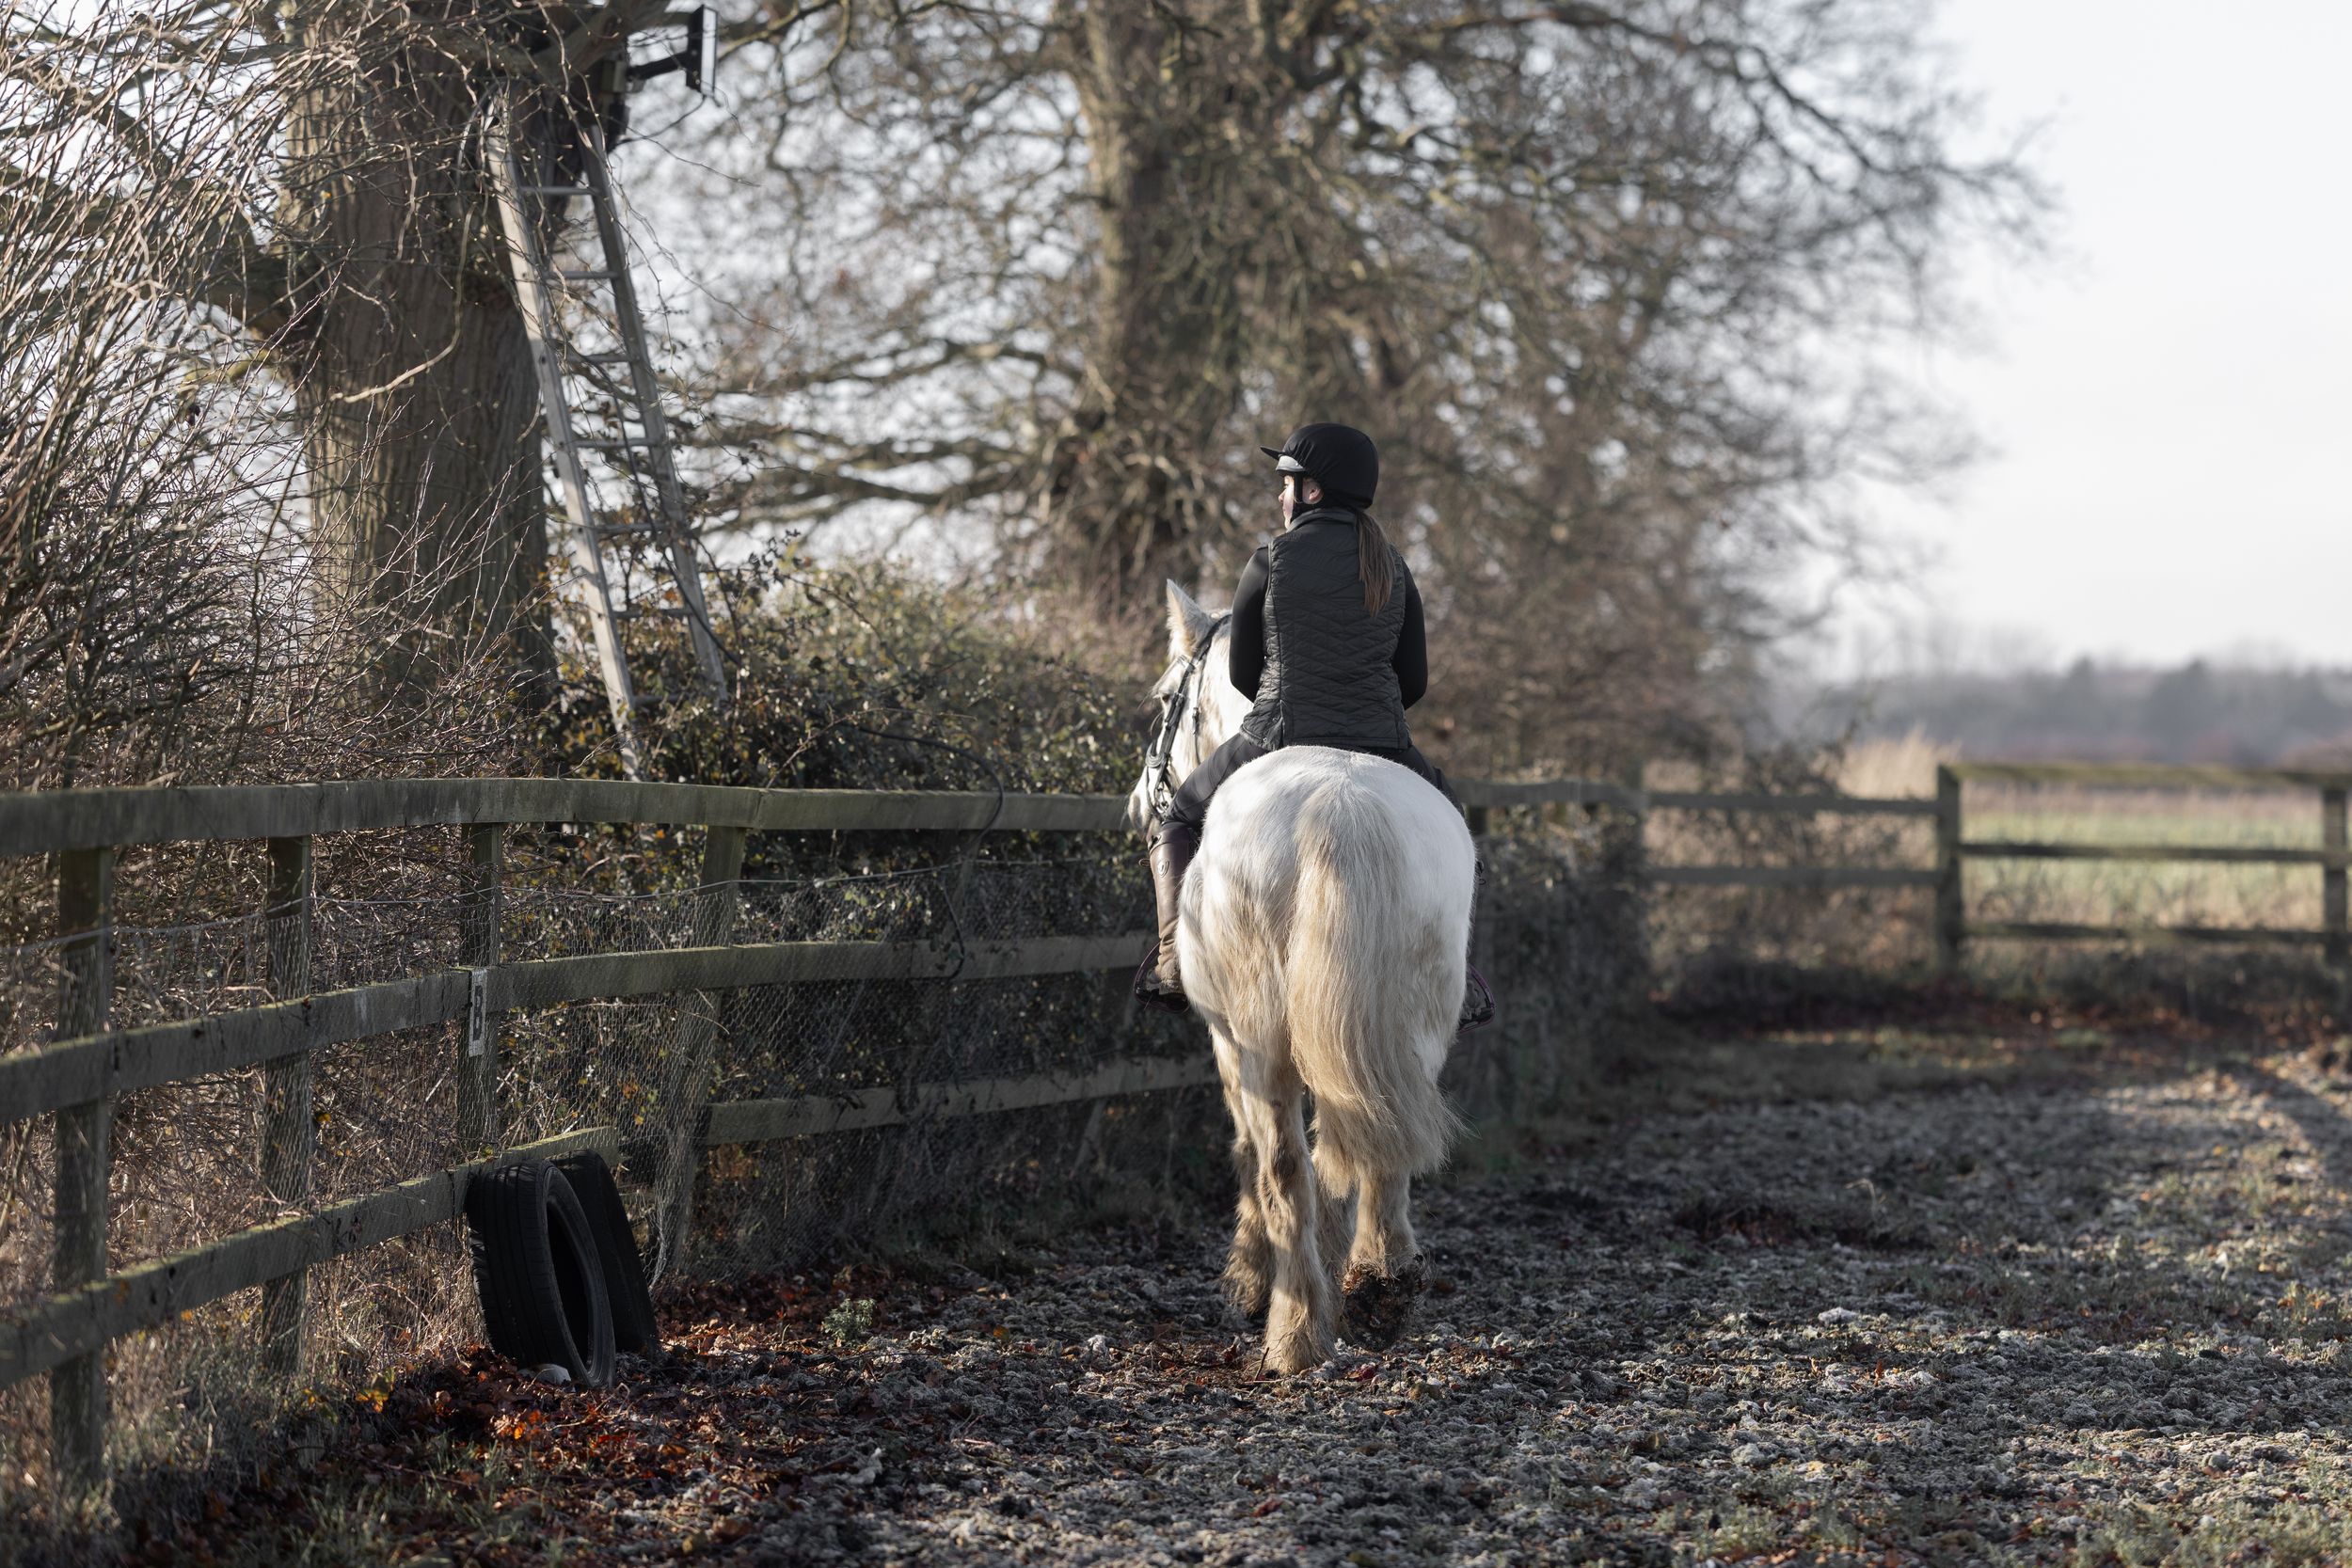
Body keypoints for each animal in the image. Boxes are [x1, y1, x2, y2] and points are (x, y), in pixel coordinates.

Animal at [1128, 580, 1474, 1374]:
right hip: (1414, 1027)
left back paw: (1294, 1329)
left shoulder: (1226, 1041)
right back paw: (1377, 1286)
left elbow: (1251, 1155)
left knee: (1285, 1161)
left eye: (1164, 698)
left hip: (1260, 1039)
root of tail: (1340, 806)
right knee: (1385, 1146)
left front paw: (1250, 1277)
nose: (1137, 801)